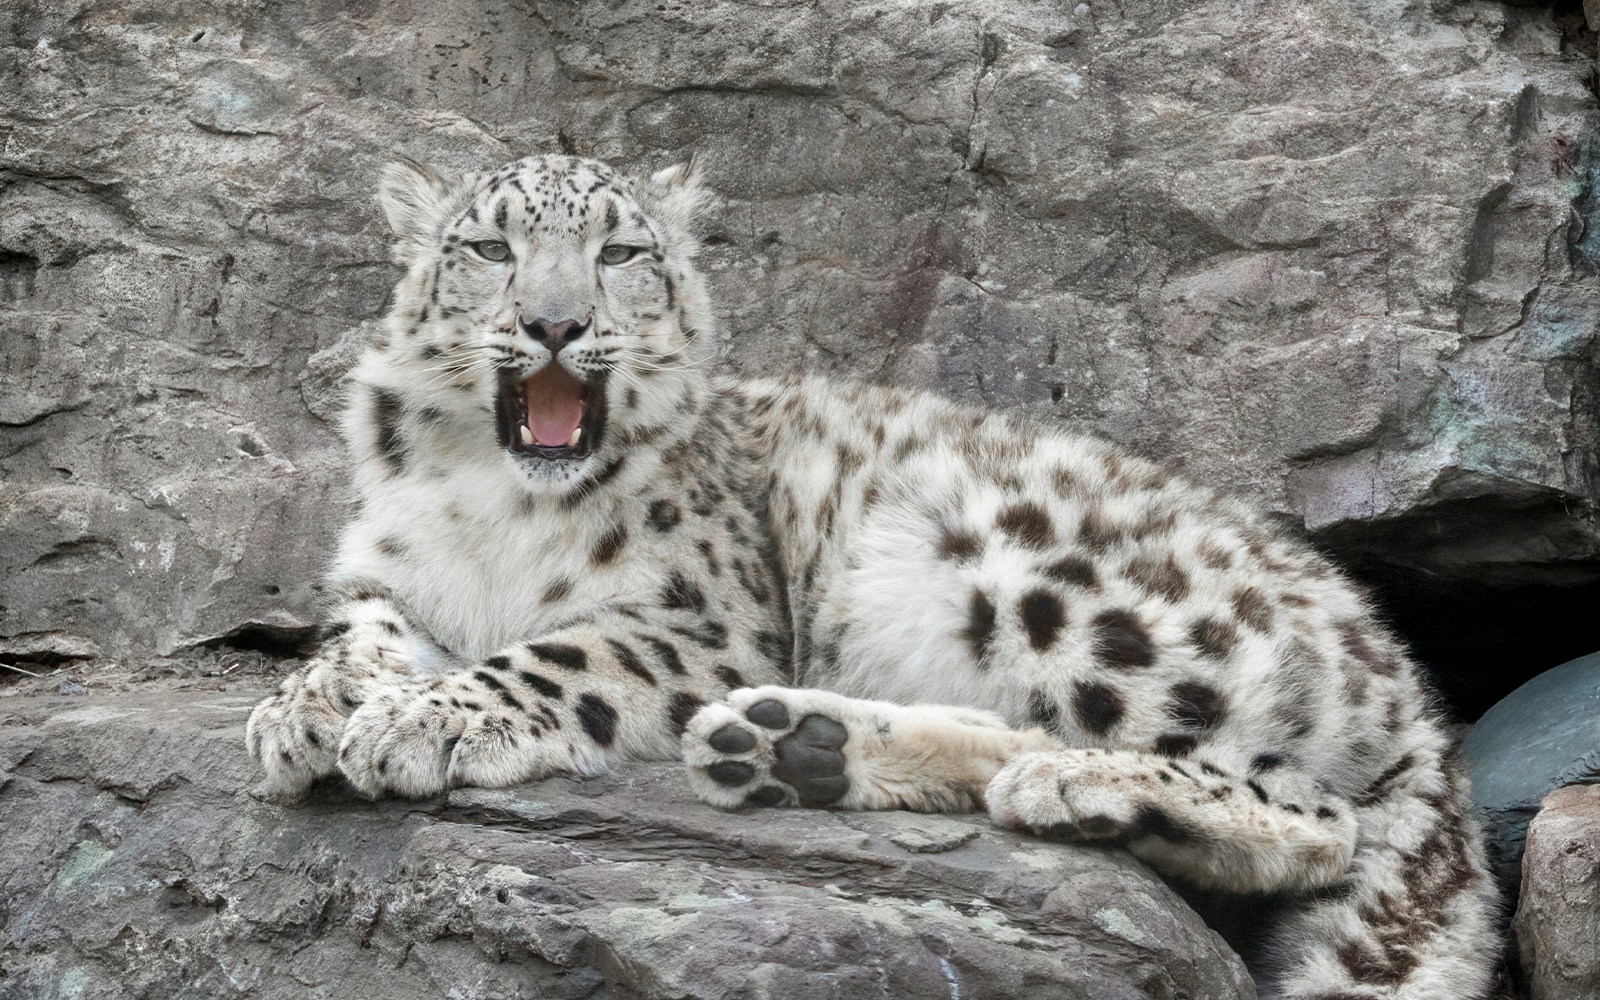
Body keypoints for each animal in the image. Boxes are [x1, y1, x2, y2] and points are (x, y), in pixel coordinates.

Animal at [246, 152, 1499, 999]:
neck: (490, 503)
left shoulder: (703, 619)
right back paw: (793, 748)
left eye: (620, 254)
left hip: (1058, 598)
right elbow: (360, 637)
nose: (554, 323)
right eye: (490, 250)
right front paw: (301, 711)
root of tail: (1399, 669)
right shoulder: (391, 578)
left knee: (1315, 813)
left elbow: (552, 655)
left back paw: (1074, 786)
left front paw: (426, 721)